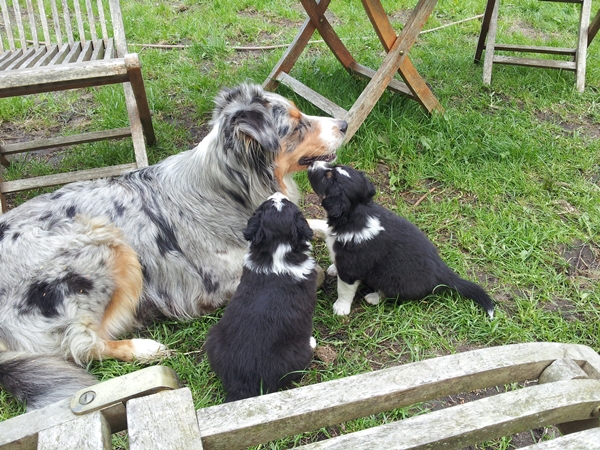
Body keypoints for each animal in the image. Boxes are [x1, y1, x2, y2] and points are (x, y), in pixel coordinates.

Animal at [205, 192, 318, 400]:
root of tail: (242, 385)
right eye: (287, 203)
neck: (277, 249)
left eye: (262, 207)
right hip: (297, 356)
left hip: (214, 337)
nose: (278, 193)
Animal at [308, 161, 494, 316]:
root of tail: (443, 271)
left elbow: (344, 289)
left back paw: (373, 297)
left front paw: (341, 308)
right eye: (332, 167)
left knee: (390, 294)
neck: (356, 213)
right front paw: (332, 266)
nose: (312, 163)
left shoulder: (351, 269)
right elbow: (323, 228)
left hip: (393, 281)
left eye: (328, 177)